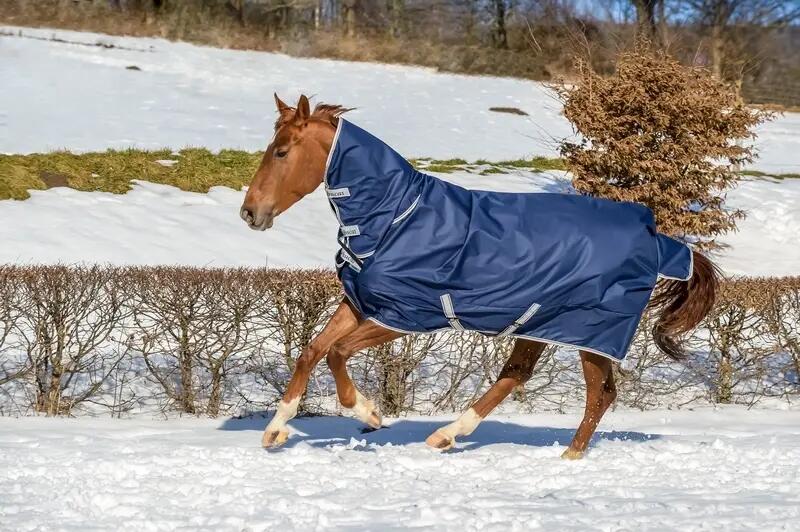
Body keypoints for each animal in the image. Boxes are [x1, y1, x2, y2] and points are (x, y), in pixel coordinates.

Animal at [240, 94, 719, 459]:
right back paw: (447, 435)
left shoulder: (403, 316)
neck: (395, 217)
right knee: (518, 374)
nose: (249, 213)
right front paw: (276, 430)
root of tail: (655, 239)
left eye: (281, 151)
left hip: (590, 332)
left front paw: (370, 413)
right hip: (536, 323)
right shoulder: (361, 304)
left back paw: (569, 455)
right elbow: (311, 350)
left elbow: (337, 353)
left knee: (599, 394)